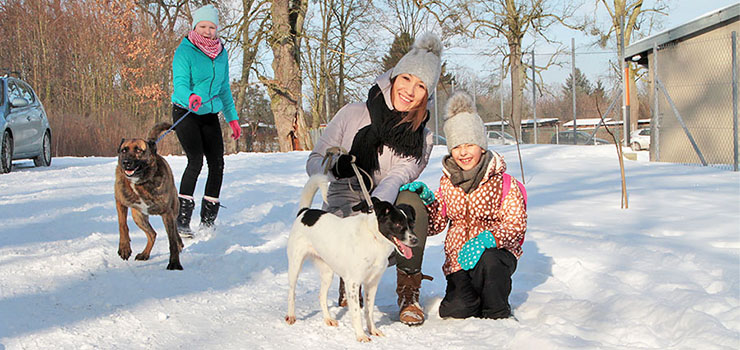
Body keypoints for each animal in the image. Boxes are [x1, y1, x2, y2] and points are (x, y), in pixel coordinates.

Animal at [117, 123, 185, 270]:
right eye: (123, 150)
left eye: (138, 150)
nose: (126, 162)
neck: (140, 181)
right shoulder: (120, 201)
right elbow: (122, 224)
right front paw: (124, 247)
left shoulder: (167, 213)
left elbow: (172, 241)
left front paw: (174, 263)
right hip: (138, 217)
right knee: (152, 234)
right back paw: (145, 254)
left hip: (172, 211)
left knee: (173, 232)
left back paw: (179, 243)